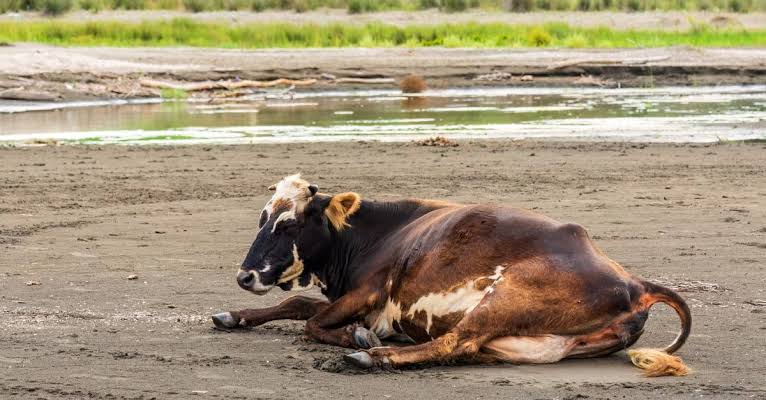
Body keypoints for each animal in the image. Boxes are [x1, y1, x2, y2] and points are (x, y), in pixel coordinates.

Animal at [212, 174, 691, 377]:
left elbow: (310, 322)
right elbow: (296, 303)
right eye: (262, 218)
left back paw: (373, 355)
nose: (245, 276)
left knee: (454, 342)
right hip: (528, 341)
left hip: (506, 295)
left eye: (288, 224)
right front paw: (234, 315)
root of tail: (635, 282)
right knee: (467, 349)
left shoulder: (370, 291)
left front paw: (355, 336)